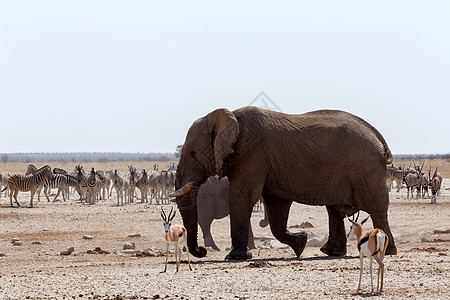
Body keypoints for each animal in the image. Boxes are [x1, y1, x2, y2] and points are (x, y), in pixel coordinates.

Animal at [172, 106, 398, 260]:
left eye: (192, 154)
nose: (201, 251)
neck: (228, 116)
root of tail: (379, 139)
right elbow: (276, 207)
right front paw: (301, 244)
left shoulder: (251, 154)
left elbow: (241, 196)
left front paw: (234, 257)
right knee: (334, 209)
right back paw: (331, 252)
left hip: (366, 170)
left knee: (376, 209)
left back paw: (387, 251)